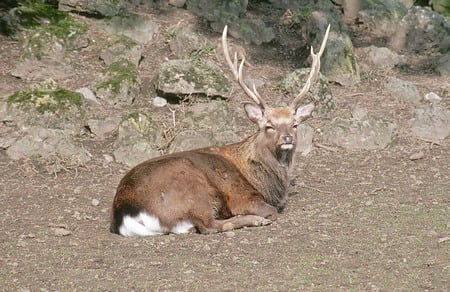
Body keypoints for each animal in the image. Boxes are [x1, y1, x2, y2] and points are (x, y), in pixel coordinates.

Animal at [111, 24, 330, 236]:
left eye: (295, 124)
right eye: (269, 126)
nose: (287, 138)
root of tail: (125, 214)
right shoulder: (243, 196)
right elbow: (271, 210)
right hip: (194, 188)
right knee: (209, 226)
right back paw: (255, 220)